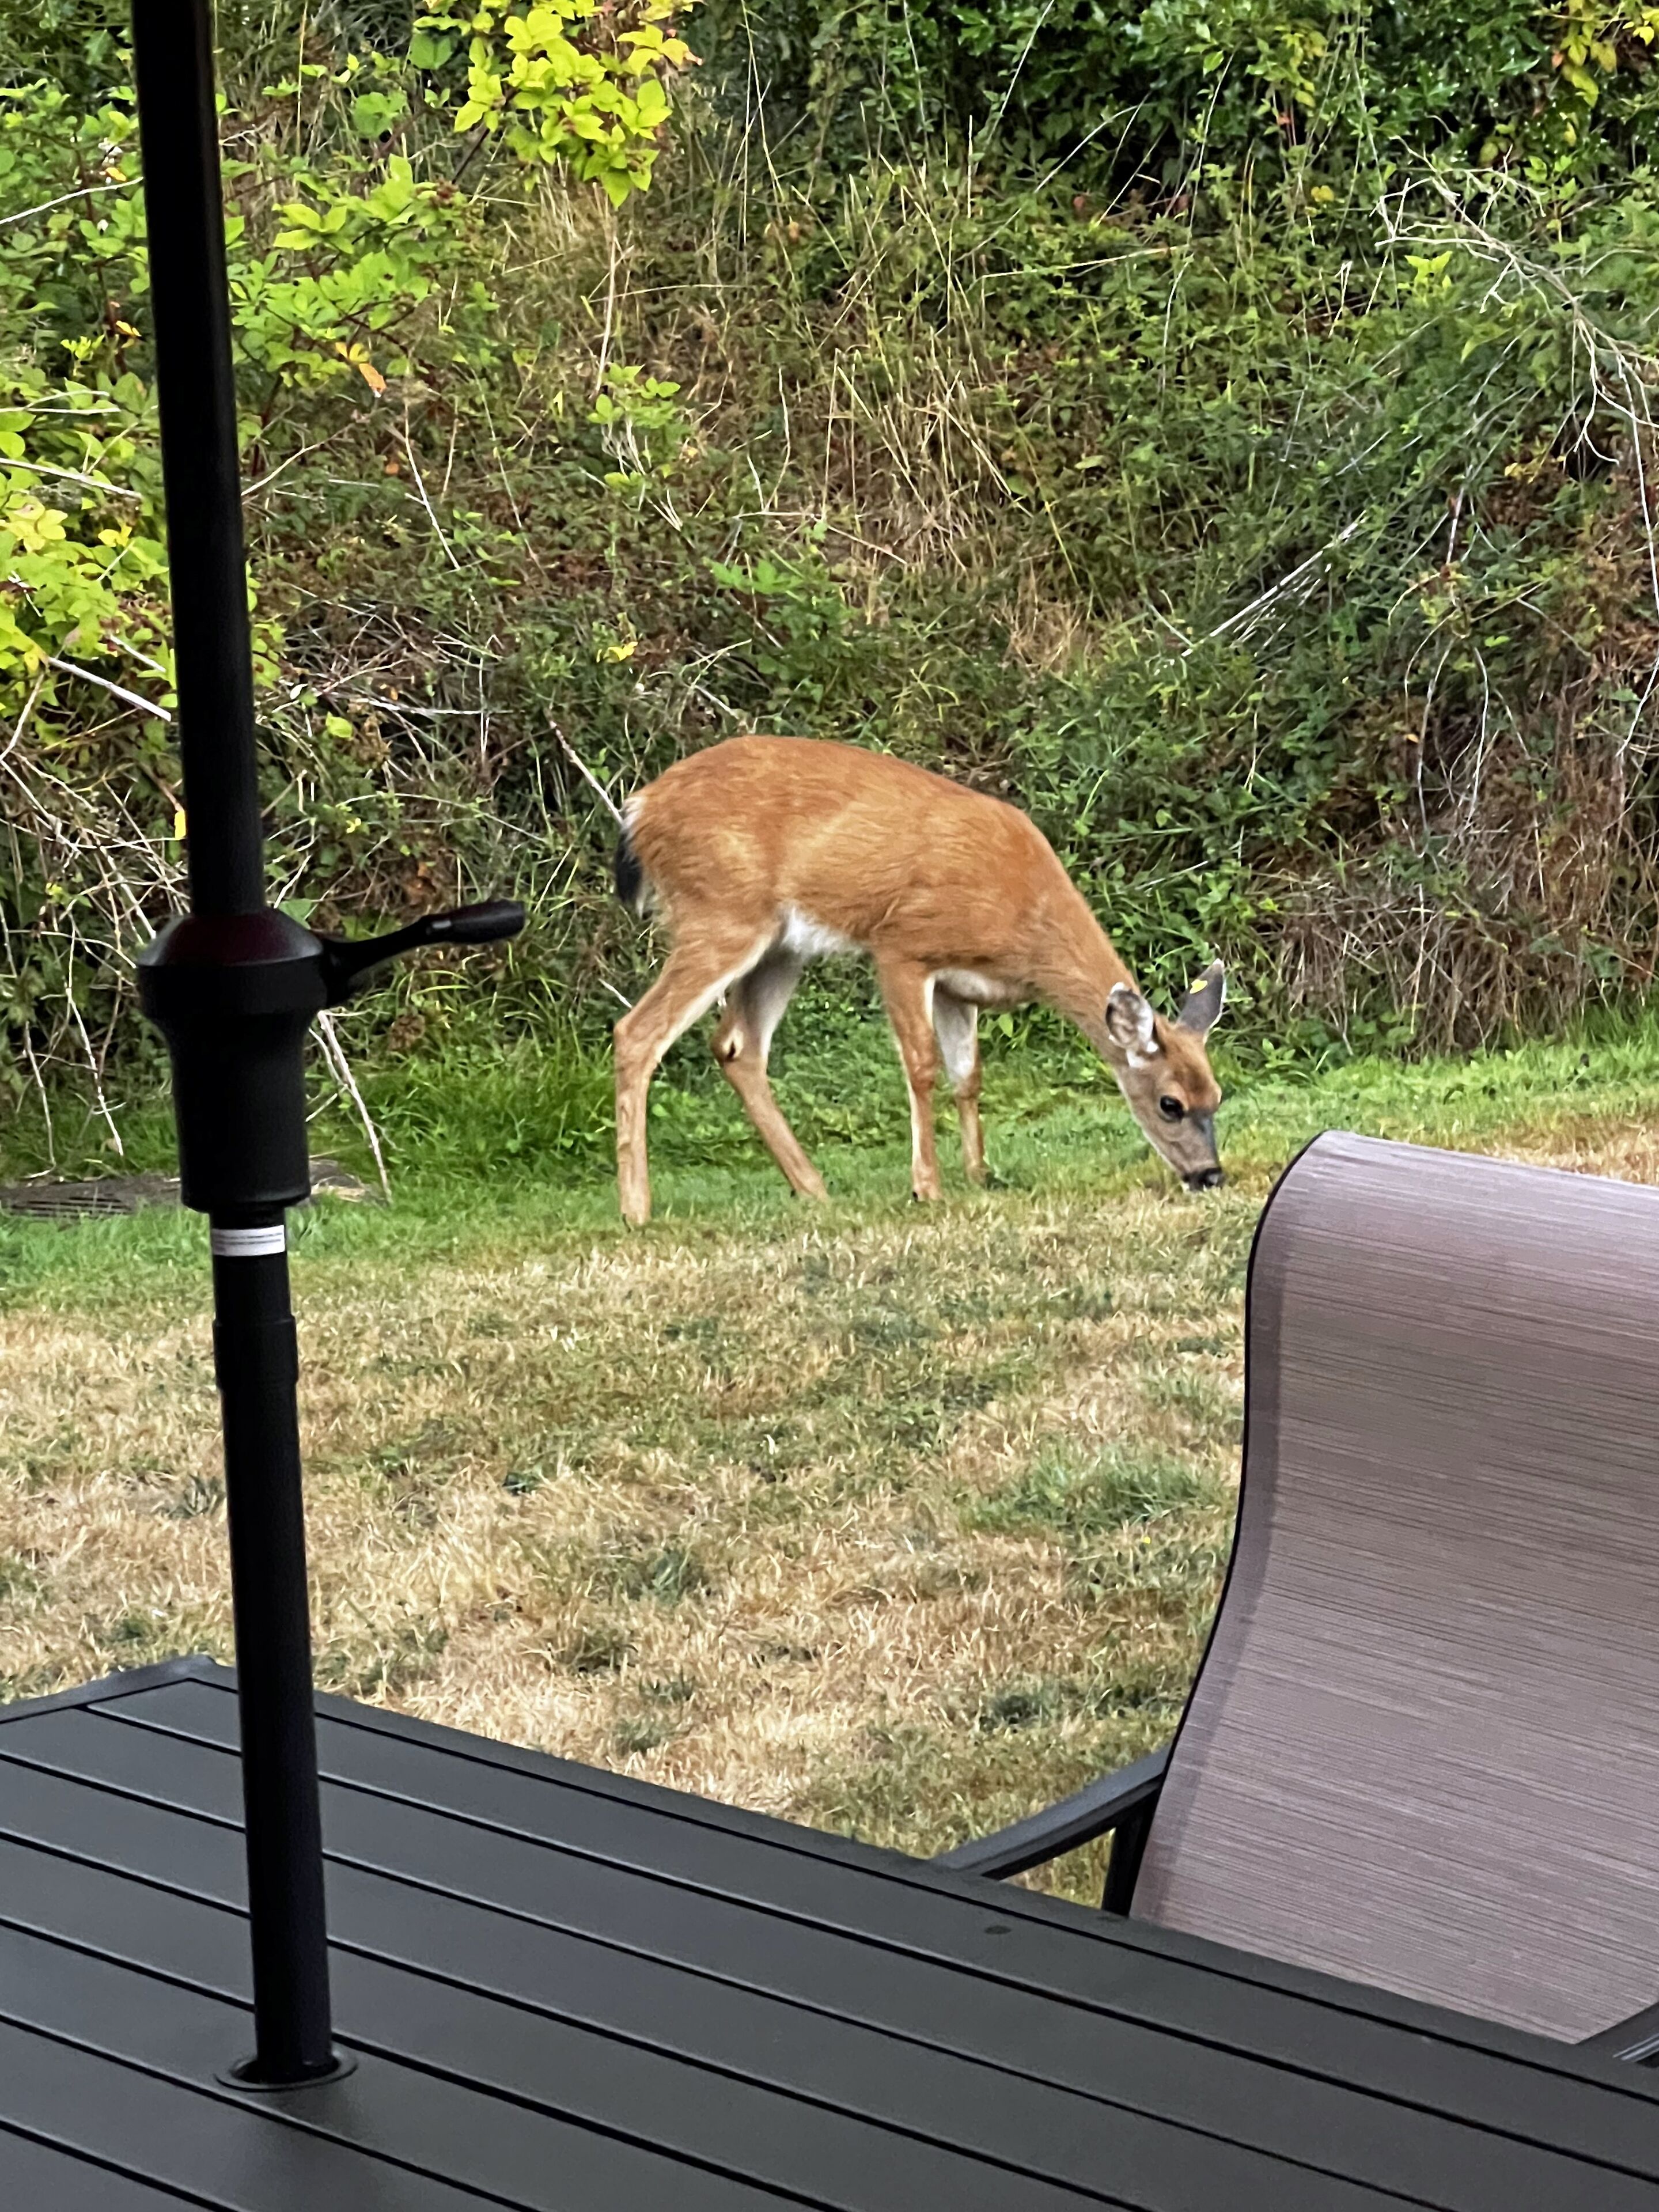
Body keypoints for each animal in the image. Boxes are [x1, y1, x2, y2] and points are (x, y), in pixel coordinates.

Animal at [611, 735, 1226, 1225]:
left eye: (1217, 1096)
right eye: (1170, 1103)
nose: (1211, 1175)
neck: (1024, 920)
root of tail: (640, 809)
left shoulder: (961, 985)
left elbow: (968, 1075)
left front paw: (980, 1175)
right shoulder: (903, 947)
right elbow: (923, 1066)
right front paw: (926, 1187)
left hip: (780, 946)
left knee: (738, 1046)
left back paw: (813, 1189)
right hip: (720, 914)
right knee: (637, 1033)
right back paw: (637, 1210)